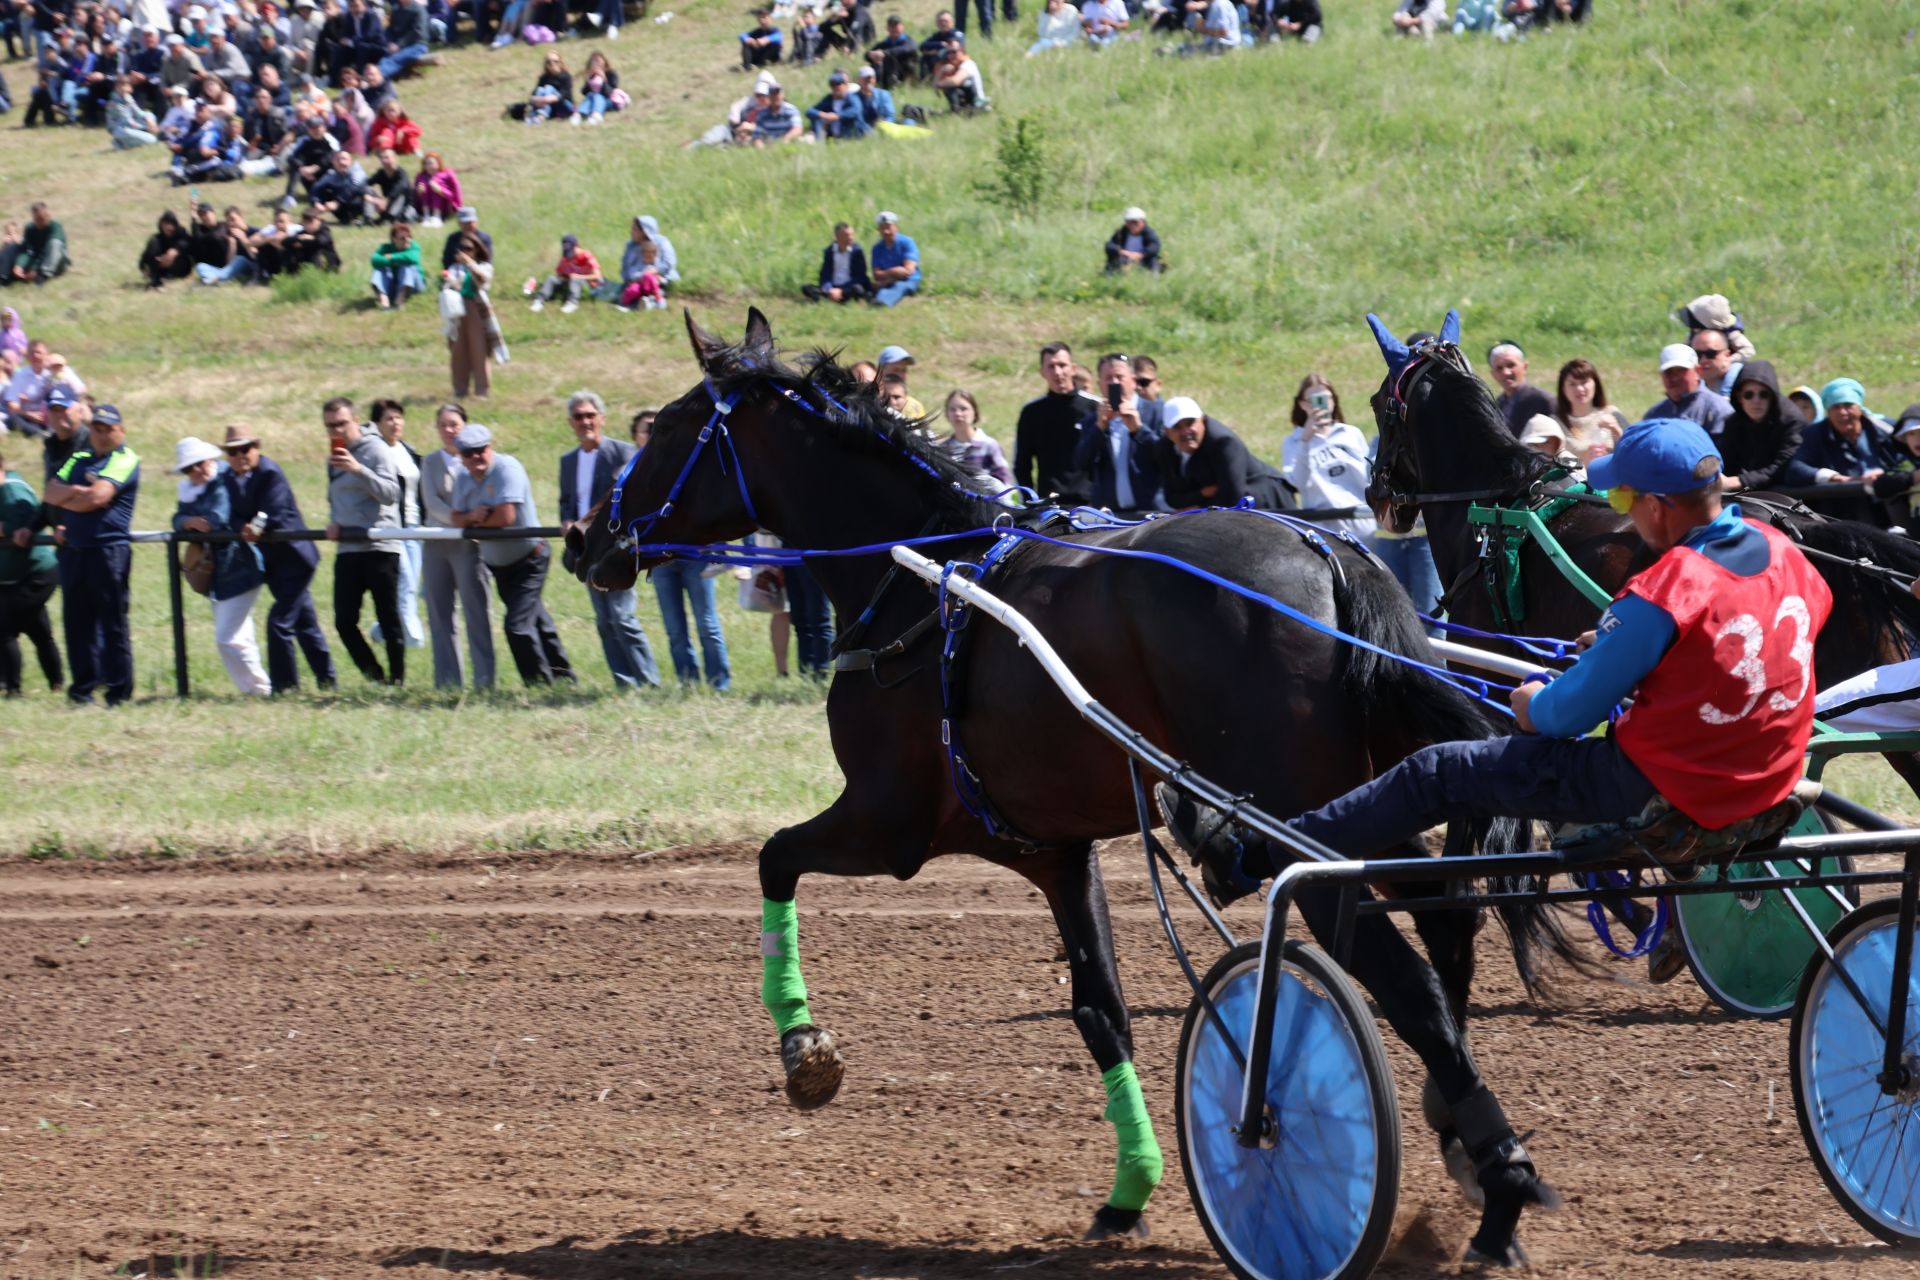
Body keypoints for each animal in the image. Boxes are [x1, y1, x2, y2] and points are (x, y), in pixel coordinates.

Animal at [564, 314, 1559, 1266]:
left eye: (672, 427)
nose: (585, 540)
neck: (920, 579)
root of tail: (1324, 549)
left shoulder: (889, 824)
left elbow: (774, 859)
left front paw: (803, 1047)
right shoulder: (1054, 852)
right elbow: (1100, 1013)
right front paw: (1129, 1190)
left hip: (1291, 823)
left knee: (1412, 982)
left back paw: (1497, 1182)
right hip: (1363, 799)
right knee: (1446, 931)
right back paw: (1462, 1141)